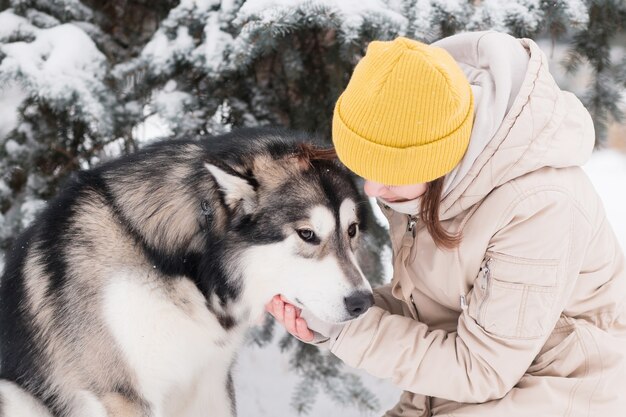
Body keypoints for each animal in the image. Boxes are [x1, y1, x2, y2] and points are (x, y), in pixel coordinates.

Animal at [0, 128, 372, 414]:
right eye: (307, 234)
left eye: (352, 230)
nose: (363, 303)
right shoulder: (124, 394)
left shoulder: (211, 382)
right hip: (14, 395)